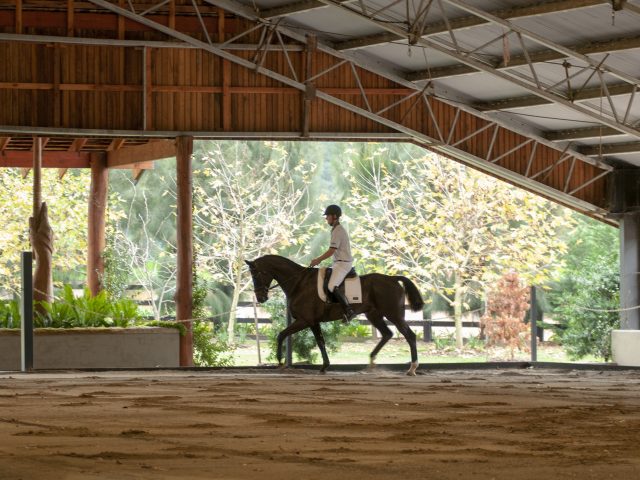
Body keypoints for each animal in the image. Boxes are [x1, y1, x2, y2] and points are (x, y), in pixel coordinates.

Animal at [245, 255, 425, 375]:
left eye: (255, 275)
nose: (260, 298)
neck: (299, 283)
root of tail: (393, 279)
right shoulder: (313, 322)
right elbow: (320, 341)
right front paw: (325, 365)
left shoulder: (305, 320)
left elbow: (282, 334)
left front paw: (280, 360)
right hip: (374, 316)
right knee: (387, 334)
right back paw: (371, 362)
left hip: (394, 315)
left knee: (410, 336)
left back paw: (412, 368)